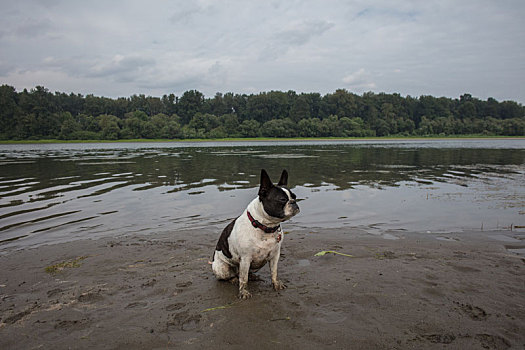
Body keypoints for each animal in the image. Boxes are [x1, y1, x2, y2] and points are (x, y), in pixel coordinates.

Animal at [210, 169, 298, 298]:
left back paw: (253, 276)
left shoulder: (275, 255)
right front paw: (244, 292)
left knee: (244, 273)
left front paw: (276, 284)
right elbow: (243, 279)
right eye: (282, 199)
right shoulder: (245, 259)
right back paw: (233, 279)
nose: (294, 202)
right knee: (233, 275)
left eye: (294, 197)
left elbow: (274, 272)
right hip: (222, 268)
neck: (266, 227)